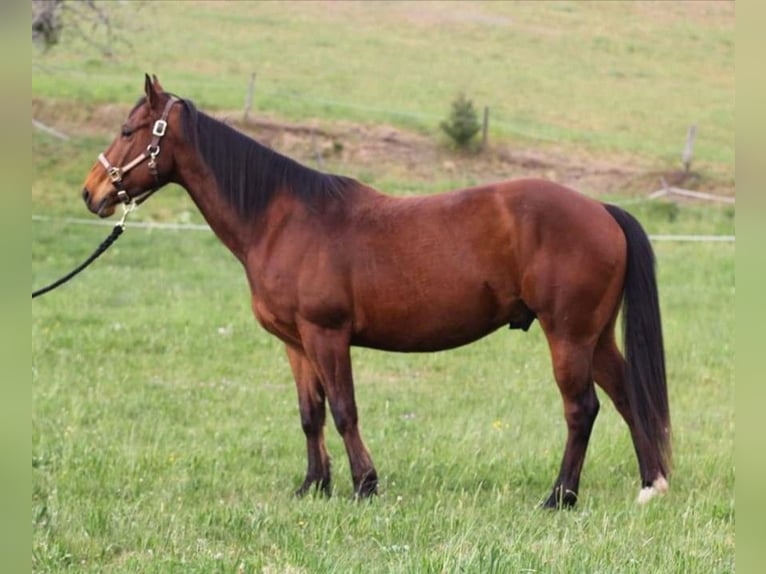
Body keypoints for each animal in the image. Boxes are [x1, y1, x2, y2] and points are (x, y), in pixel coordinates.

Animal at [79, 75, 672, 508]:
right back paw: (650, 484)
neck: (282, 218)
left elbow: (345, 410)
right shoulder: (296, 344)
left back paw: (560, 496)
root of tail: (601, 210)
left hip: (567, 336)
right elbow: (311, 414)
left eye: (130, 130)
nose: (91, 192)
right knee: (627, 396)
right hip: (594, 337)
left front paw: (365, 485)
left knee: (582, 409)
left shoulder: (327, 335)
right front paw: (313, 486)